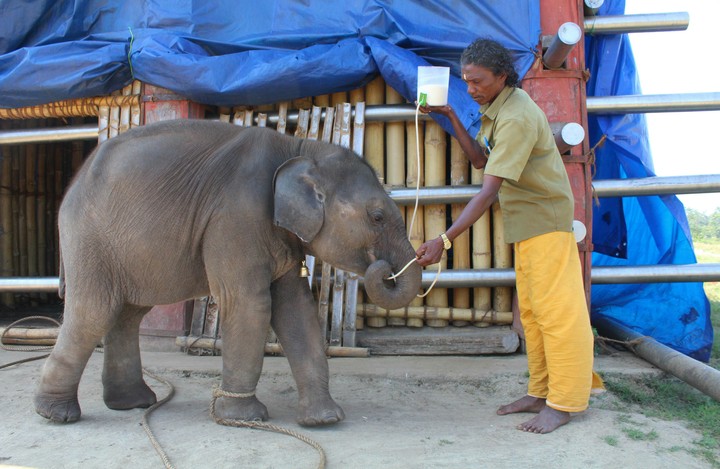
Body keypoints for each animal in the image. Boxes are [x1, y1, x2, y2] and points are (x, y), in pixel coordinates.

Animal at [34, 119, 422, 426]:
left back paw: (133, 404)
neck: (301, 148)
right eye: (377, 217)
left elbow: (296, 309)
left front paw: (324, 420)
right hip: (89, 240)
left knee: (127, 314)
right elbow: (250, 304)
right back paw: (56, 414)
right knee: (94, 311)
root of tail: (74, 184)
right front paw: (245, 418)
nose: (384, 268)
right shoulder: (237, 217)